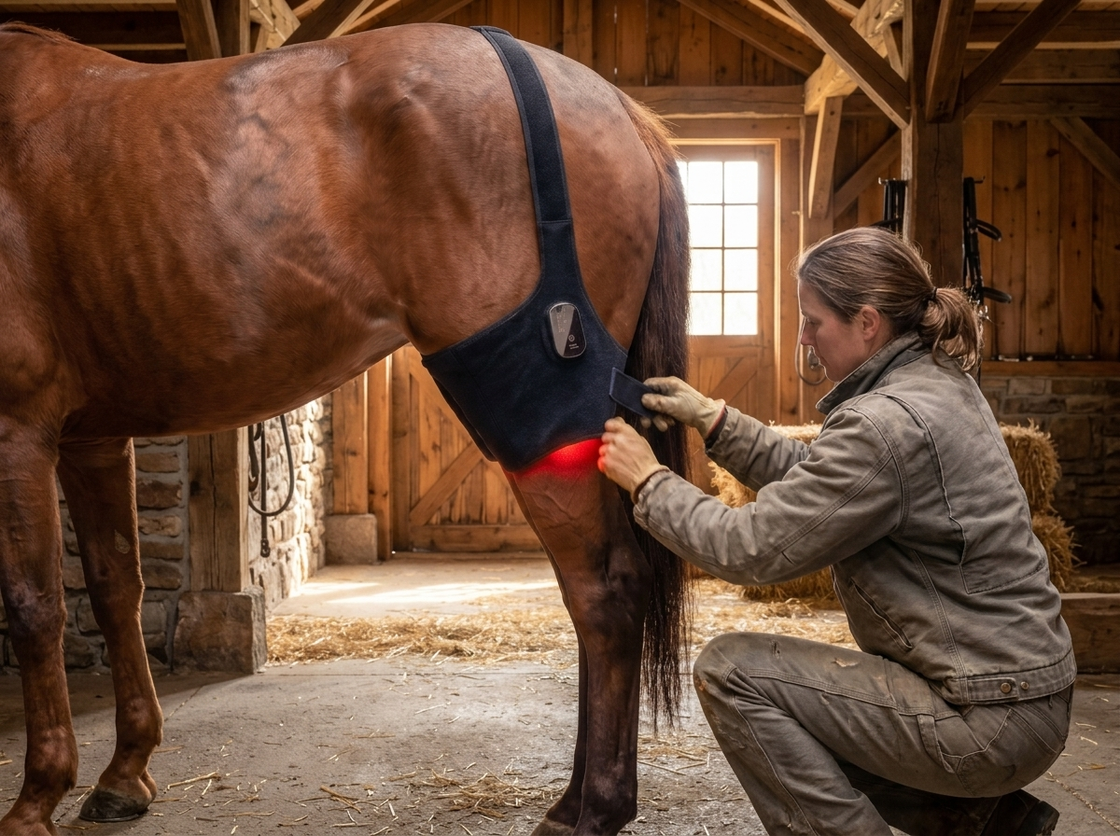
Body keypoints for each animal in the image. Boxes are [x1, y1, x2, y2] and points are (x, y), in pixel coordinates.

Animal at [0, 20, 691, 836]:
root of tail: (616, 105)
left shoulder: (19, 429)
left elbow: (35, 607)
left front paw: (35, 798)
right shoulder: (92, 437)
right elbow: (114, 588)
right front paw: (124, 772)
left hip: (544, 431)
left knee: (604, 592)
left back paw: (593, 810)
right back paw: (573, 802)